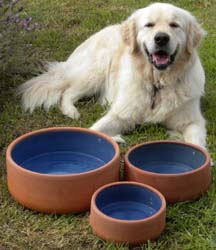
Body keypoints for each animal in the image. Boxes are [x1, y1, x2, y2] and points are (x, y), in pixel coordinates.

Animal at [17, 2, 207, 146]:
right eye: (149, 25)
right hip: (96, 71)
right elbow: (95, 130)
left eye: (174, 25)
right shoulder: (120, 114)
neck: (157, 83)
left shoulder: (193, 121)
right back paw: (72, 112)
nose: (161, 38)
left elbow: (197, 144)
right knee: (67, 92)